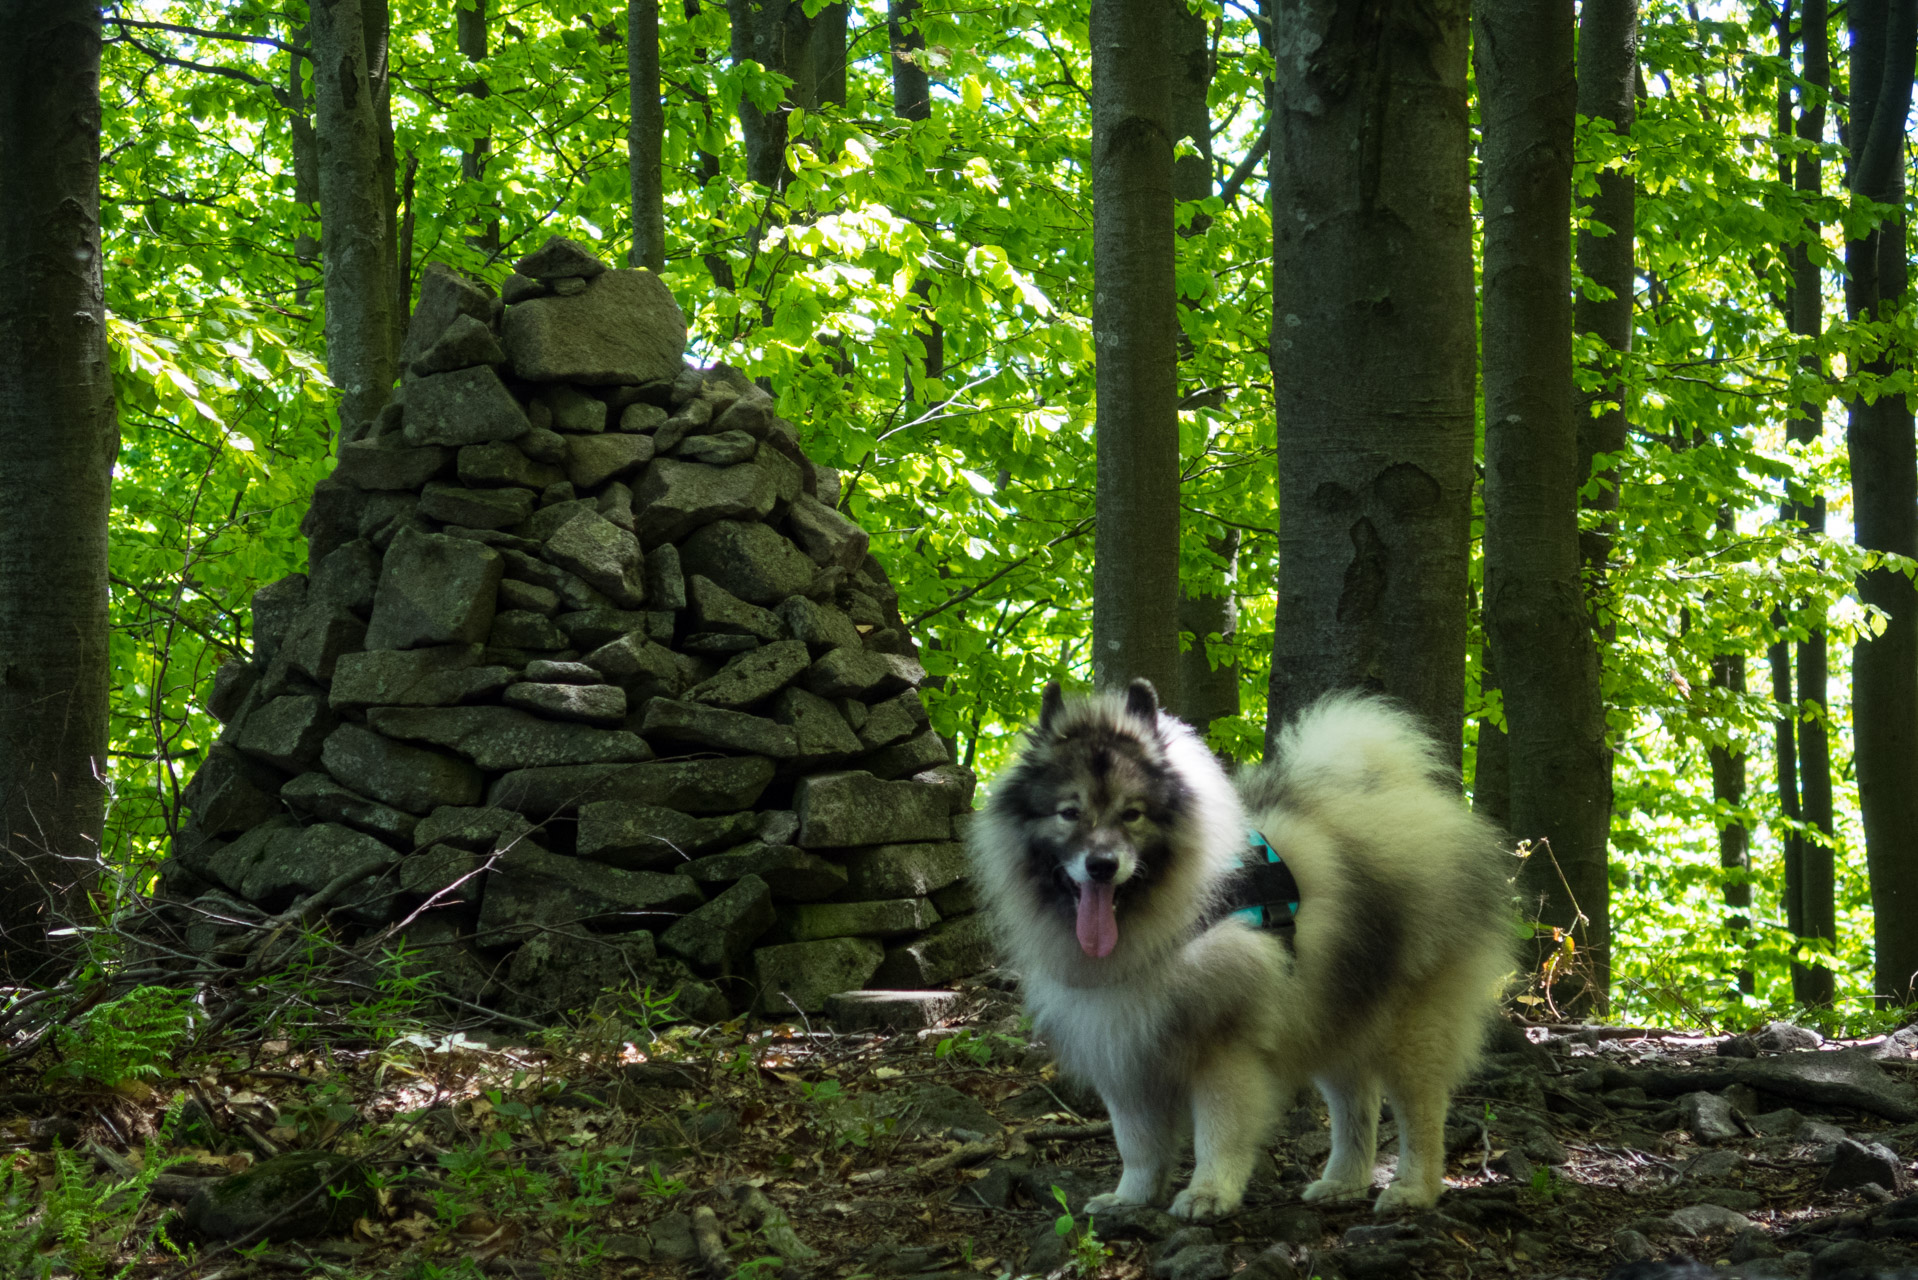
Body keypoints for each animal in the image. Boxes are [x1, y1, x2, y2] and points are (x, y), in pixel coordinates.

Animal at [974, 679, 1511, 1220]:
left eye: (1132, 814)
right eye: (1070, 813)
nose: (1102, 865)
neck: (1163, 924)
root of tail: (1406, 795)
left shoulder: (1222, 1047)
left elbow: (1218, 1131)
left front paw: (1210, 1193)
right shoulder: (1125, 1048)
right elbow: (1137, 1143)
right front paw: (1131, 1198)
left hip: (1411, 1024)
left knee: (1420, 1112)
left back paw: (1413, 1190)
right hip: (1338, 1007)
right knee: (1355, 1104)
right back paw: (1343, 1183)